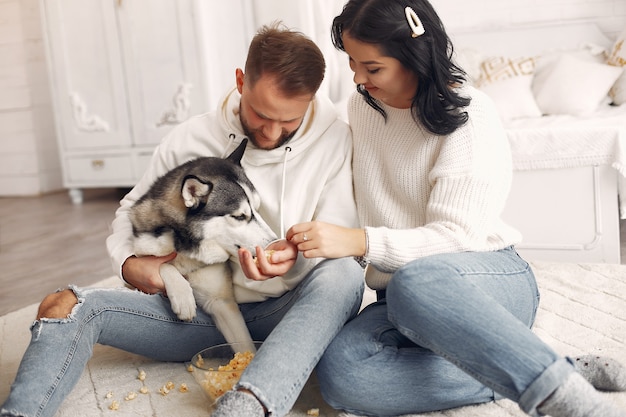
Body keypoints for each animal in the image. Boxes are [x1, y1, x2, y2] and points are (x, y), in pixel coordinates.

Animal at [128, 140, 274, 352]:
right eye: (239, 216)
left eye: (258, 208)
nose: (275, 242)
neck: (187, 249)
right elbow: (163, 264)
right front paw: (183, 295)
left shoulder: (221, 302)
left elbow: (245, 345)